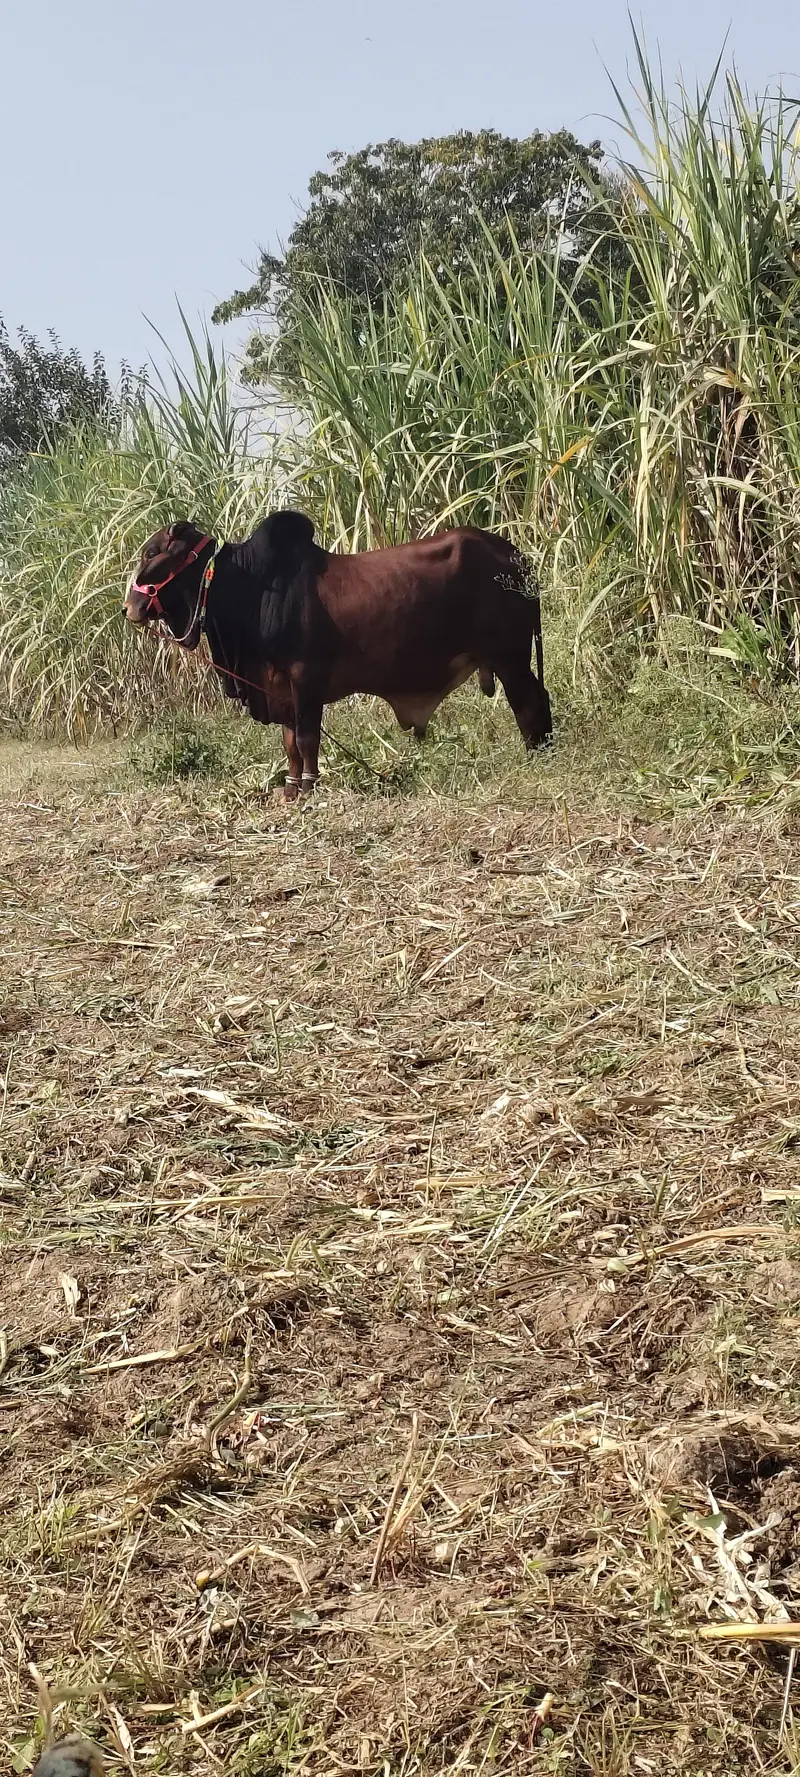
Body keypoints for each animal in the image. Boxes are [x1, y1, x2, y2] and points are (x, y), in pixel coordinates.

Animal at [124, 512, 552, 798]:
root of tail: (517, 557)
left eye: (151, 553)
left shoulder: (305, 678)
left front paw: (309, 789)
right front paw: (290, 789)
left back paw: (536, 756)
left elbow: (307, 739)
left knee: (528, 702)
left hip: (510, 657)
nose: (130, 607)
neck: (251, 589)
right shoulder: (281, 688)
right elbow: (290, 743)